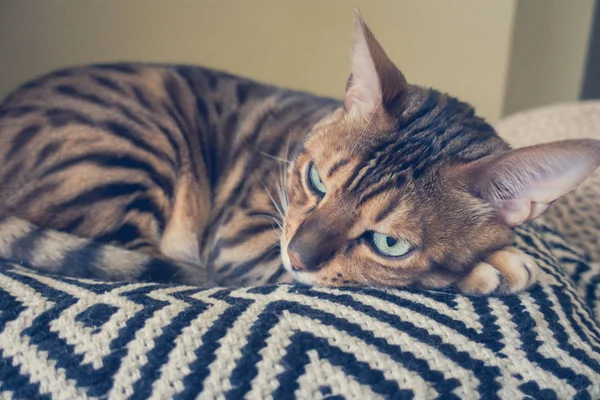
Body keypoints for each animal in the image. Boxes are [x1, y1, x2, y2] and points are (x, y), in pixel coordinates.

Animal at [0, 10, 596, 296]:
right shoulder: (241, 238)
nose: (299, 256)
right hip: (131, 150)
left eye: (388, 242)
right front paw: (486, 267)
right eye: (315, 181)